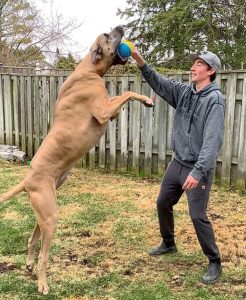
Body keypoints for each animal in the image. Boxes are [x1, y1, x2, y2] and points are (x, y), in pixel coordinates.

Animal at [0, 25, 154, 292]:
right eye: (108, 35)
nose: (120, 27)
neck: (88, 70)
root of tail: (27, 180)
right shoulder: (104, 111)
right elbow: (127, 92)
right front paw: (146, 99)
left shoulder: (109, 112)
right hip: (50, 216)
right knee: (44, 255)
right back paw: (42, 283)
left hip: (43, 214)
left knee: (32, 239)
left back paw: (29, 264)